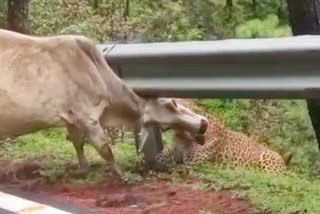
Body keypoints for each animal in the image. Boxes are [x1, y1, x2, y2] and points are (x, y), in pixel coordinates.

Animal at [0, 28, 208, 179]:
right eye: (171, 103)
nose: (204, 123)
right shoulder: (88, 117)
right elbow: (106, 151)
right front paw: (122, 176)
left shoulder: (72, 120)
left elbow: (78, 145)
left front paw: (82, 170)